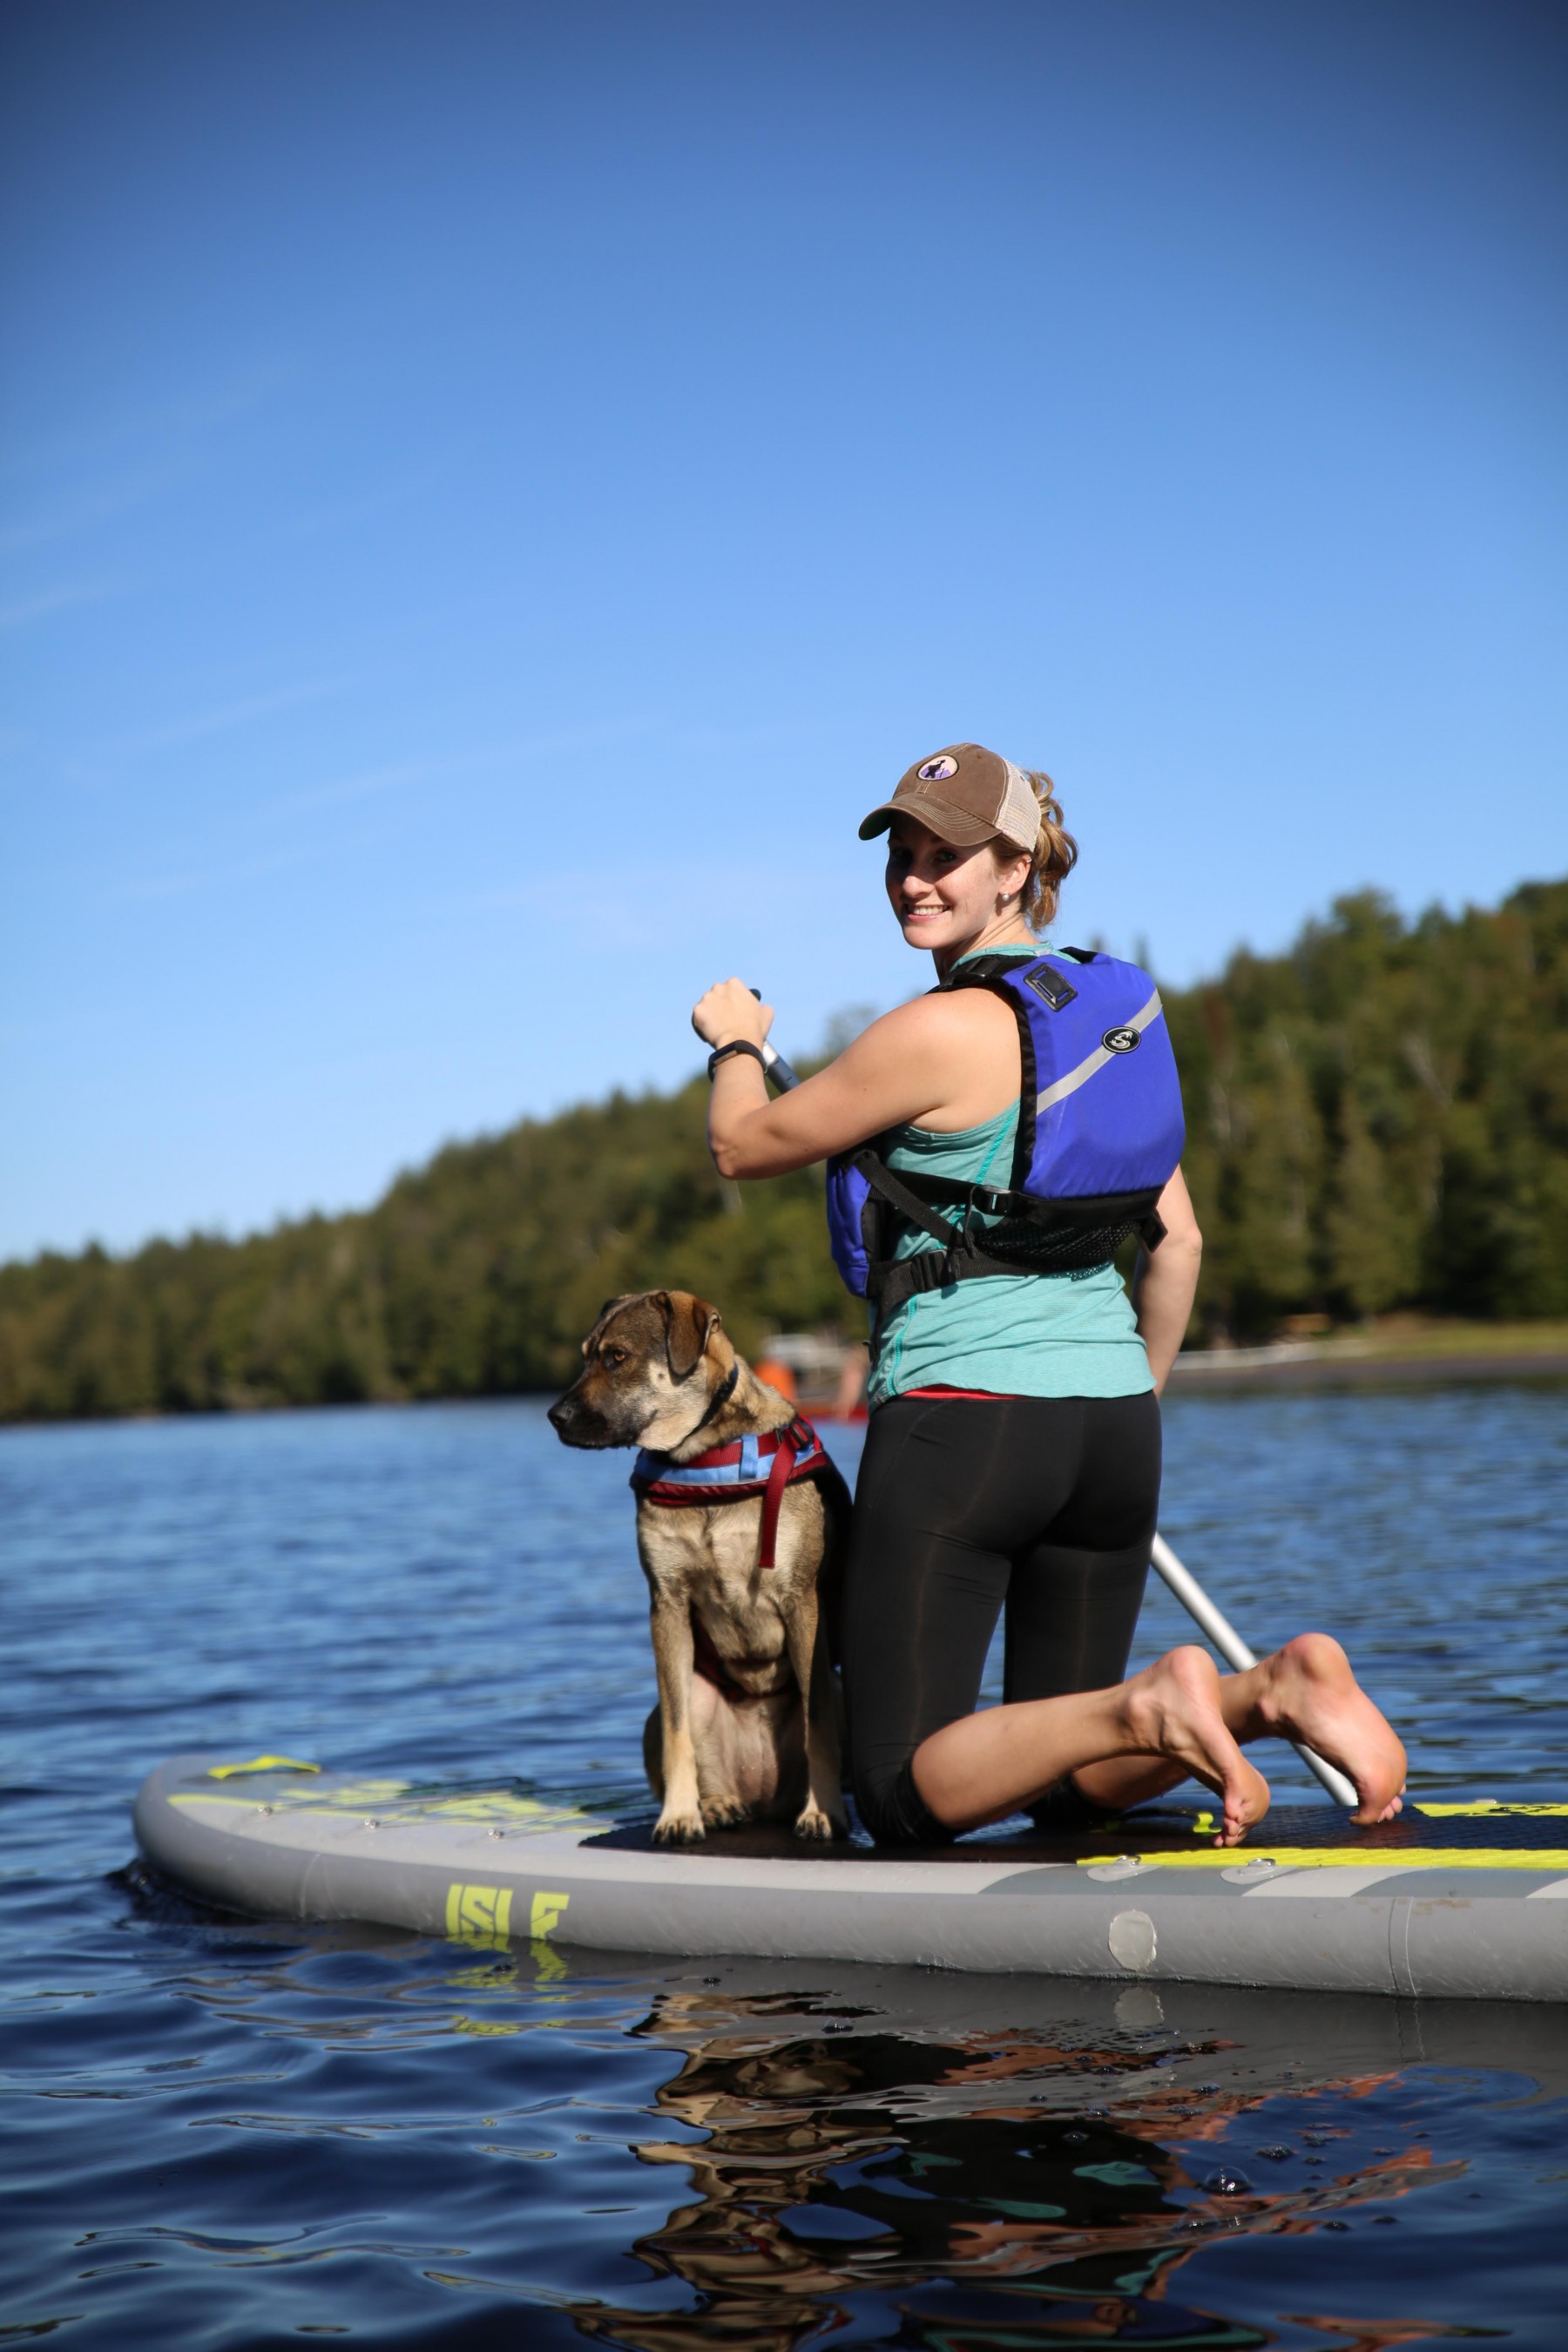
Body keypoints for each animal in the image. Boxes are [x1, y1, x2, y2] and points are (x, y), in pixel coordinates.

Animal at [550, 1298, 846, 1843]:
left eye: (617, 1356)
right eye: (585, 1356)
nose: (554, 1416)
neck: (703, 1457)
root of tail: (763, 1795)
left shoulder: (801, 1601)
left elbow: (819, 1728)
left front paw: (825, 1811)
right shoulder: (666, 1602)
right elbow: (677, 1733)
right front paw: (679, 1815)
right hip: (678, 1700)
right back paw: (716, 1805)